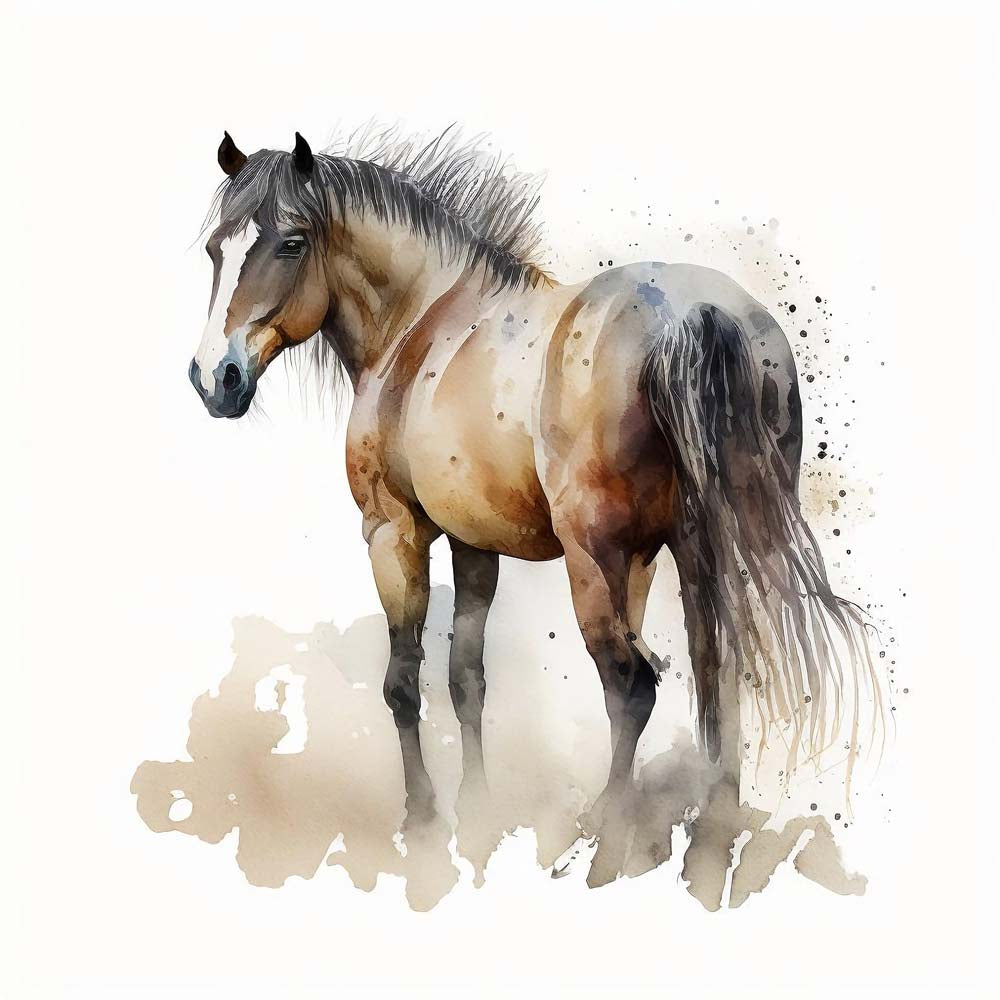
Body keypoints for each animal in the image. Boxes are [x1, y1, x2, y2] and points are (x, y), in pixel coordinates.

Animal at [188, 127, 880, 838]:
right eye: (217, 247)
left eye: (291, 243)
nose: (217, 379)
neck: (420, 323)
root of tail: (696, 315)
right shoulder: (475, 543)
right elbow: (465, 678)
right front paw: (477, 805)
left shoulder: (394, 532)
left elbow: (402, 683)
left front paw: (423, 815)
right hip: (696, 548)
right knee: (723, 664)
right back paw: (715, 812)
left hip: (595, 555)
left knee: (632, 683)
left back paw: (610, 821)